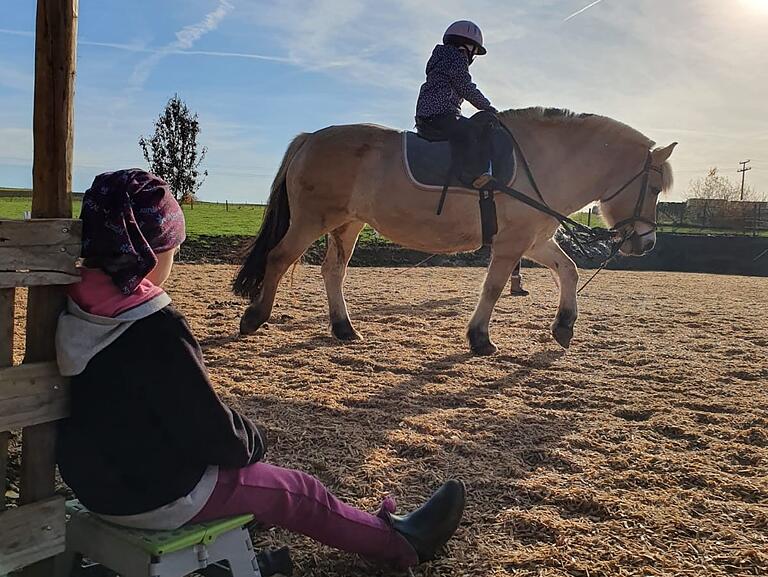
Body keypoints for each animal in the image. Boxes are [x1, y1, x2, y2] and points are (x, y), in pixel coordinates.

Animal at [231, 106, 676, 354]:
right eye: (654, 187)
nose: (647, 242)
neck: (546, 162)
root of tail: (310, 138)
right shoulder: (512, 243)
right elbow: (493, 288)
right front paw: (479, 338)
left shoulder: (534, 240)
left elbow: (568, 270)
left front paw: (564, 326)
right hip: (312, 220)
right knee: (279, 258)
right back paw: (255, 317)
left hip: (346, 224)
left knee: (333, 272)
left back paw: (343, 328)